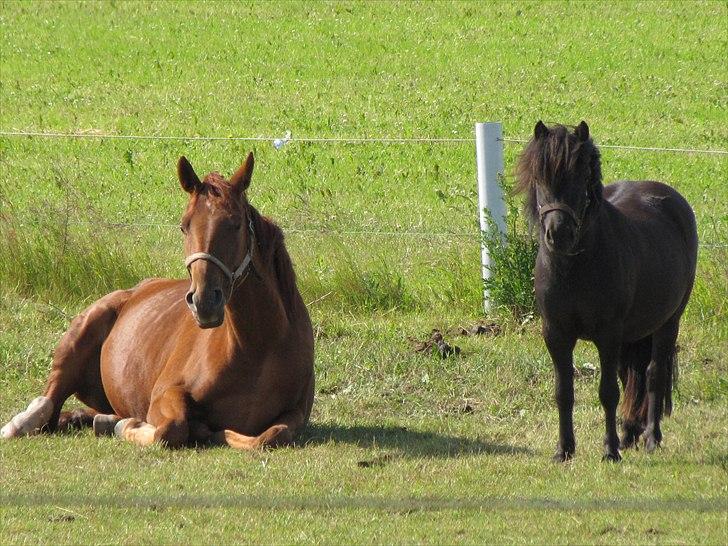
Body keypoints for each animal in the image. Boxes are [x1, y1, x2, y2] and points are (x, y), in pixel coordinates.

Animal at [2, 153, 316, 446]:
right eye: (184, 226)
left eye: (236, 224)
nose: (204, 302)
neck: (259, 348)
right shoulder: (165, 393)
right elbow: (172, 428)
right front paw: (127, 427)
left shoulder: (296, 413)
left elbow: (271, 435)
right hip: (78, 335)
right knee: (49, 400)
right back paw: (21, 424)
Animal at [516, 121, 696, 462]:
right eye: (540, 176)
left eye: (581, 174)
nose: (559, 233)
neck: (575, 266)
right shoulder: (556, 335)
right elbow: (564, 392)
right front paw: (564, 450)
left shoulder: (608, 335)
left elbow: (608, 392)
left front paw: (610, 451)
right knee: (632, 377)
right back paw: (630, 434)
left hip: (669, 322)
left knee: (653, 374)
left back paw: (650, 437)